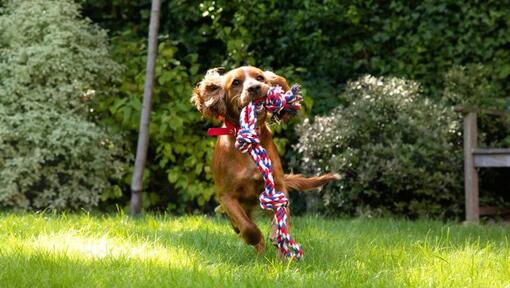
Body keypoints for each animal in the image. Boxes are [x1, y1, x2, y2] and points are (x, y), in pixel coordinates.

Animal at [193, 66, 336, 255]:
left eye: (260, 77)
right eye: (236, 82)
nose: (254, 88)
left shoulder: (277, 185)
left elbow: (282, 214)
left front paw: (277, 234)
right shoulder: (227, 196)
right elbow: (248, 227)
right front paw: (256, 238)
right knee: (240, 225)